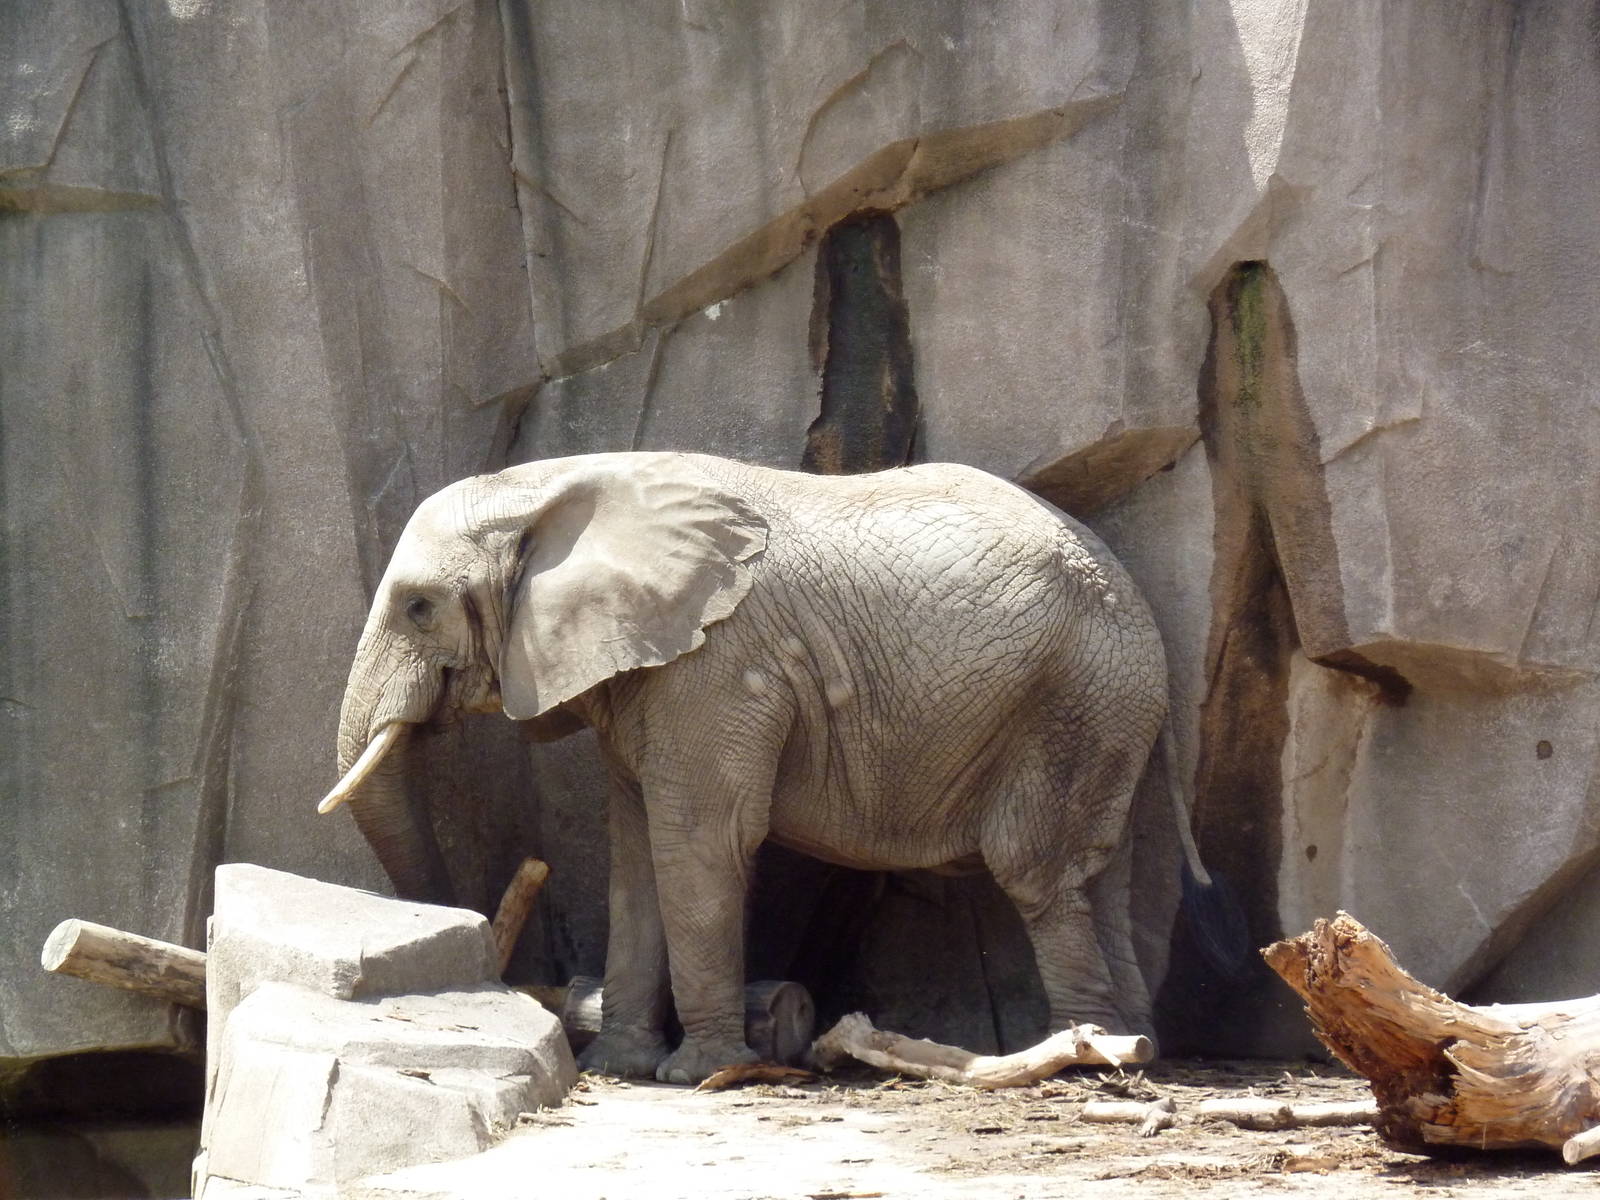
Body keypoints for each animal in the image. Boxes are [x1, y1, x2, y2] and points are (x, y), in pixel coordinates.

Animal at [320, 450, 1174, 1084]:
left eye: (420, 608)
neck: (557, 488)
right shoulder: (651, 672)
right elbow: (638, 853)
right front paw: (619, 1065)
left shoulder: (719, 664)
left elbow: (700, 840)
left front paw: (697, 1074)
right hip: (1107, 706)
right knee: (1103, 874)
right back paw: (1131, 1044)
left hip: (1074, 694)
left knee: (1038, 874)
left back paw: (1079, 1051)